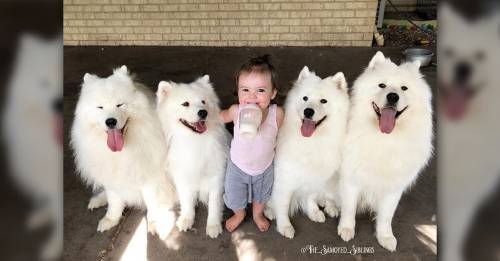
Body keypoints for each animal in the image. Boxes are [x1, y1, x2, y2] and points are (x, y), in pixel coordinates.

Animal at [70, 65, 176, 238]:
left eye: (120, 105)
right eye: (100, 107)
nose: (110, 121)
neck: (123, 151)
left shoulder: (151, 180)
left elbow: (152, 204)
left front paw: (154, 224)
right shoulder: (113, 179)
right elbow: (114, 202)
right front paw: (110, 220)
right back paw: (98, 200)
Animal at [156, 75, 229, 238]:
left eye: (203, 101)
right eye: (185, 104)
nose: (203, 112)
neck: (195, 141)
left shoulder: (217, 177)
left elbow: (214, 204)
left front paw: (213, 225)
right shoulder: (182, 177)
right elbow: (186, 201)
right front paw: (186, 219)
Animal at [266, 66, 348, 238]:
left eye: (323, 101)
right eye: (305, 98)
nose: (308, 111)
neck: (311, 142)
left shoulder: (315, 177)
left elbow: (311, 197)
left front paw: (313, 212)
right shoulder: (284, 180)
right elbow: (283, 205)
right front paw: (285, 226)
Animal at [340, 51, 434, 251]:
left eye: (404, 88)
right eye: (382, 85)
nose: (392, 96)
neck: (384, 138)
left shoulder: (393, 186)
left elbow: (386, 216)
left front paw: (385, 237)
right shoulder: (351, 179)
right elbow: (349, 208)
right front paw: (346, 229)